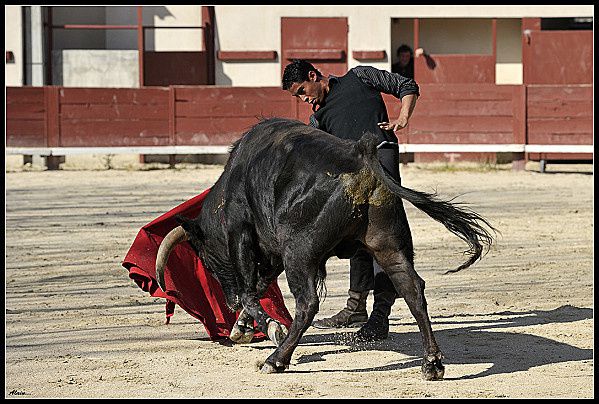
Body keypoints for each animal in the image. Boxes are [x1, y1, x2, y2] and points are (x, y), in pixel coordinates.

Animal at [155, 116, 496, 378]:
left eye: (206, 260)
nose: (227, 303)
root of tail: (361, 158)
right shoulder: (271, 250)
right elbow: (260, 285)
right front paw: (243, 326)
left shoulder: (243, 235)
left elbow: (250, 290)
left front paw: (267, 327)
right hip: (388, 245)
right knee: (412, 288)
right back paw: (432, 363)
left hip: (299, 252)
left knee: (307, 304)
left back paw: (276, 360)